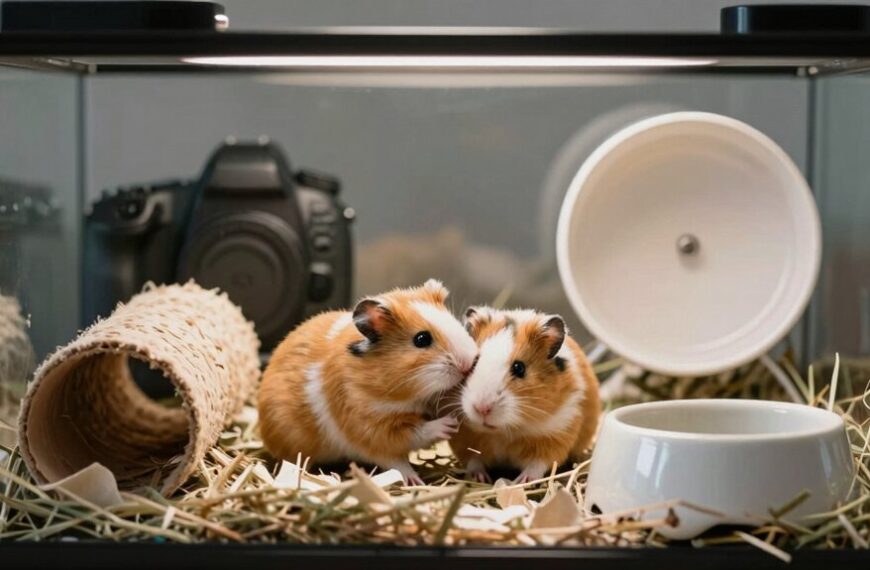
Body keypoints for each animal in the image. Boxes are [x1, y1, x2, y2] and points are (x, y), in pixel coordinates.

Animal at [449, 306, 600, 483]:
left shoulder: (558, 432)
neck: (504, 431)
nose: (482, 408)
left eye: (519, 368)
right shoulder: (464, 436)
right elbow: (473, 460)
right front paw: (480, 479)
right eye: (473, 362)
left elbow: (538, 464)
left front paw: (522, 481)